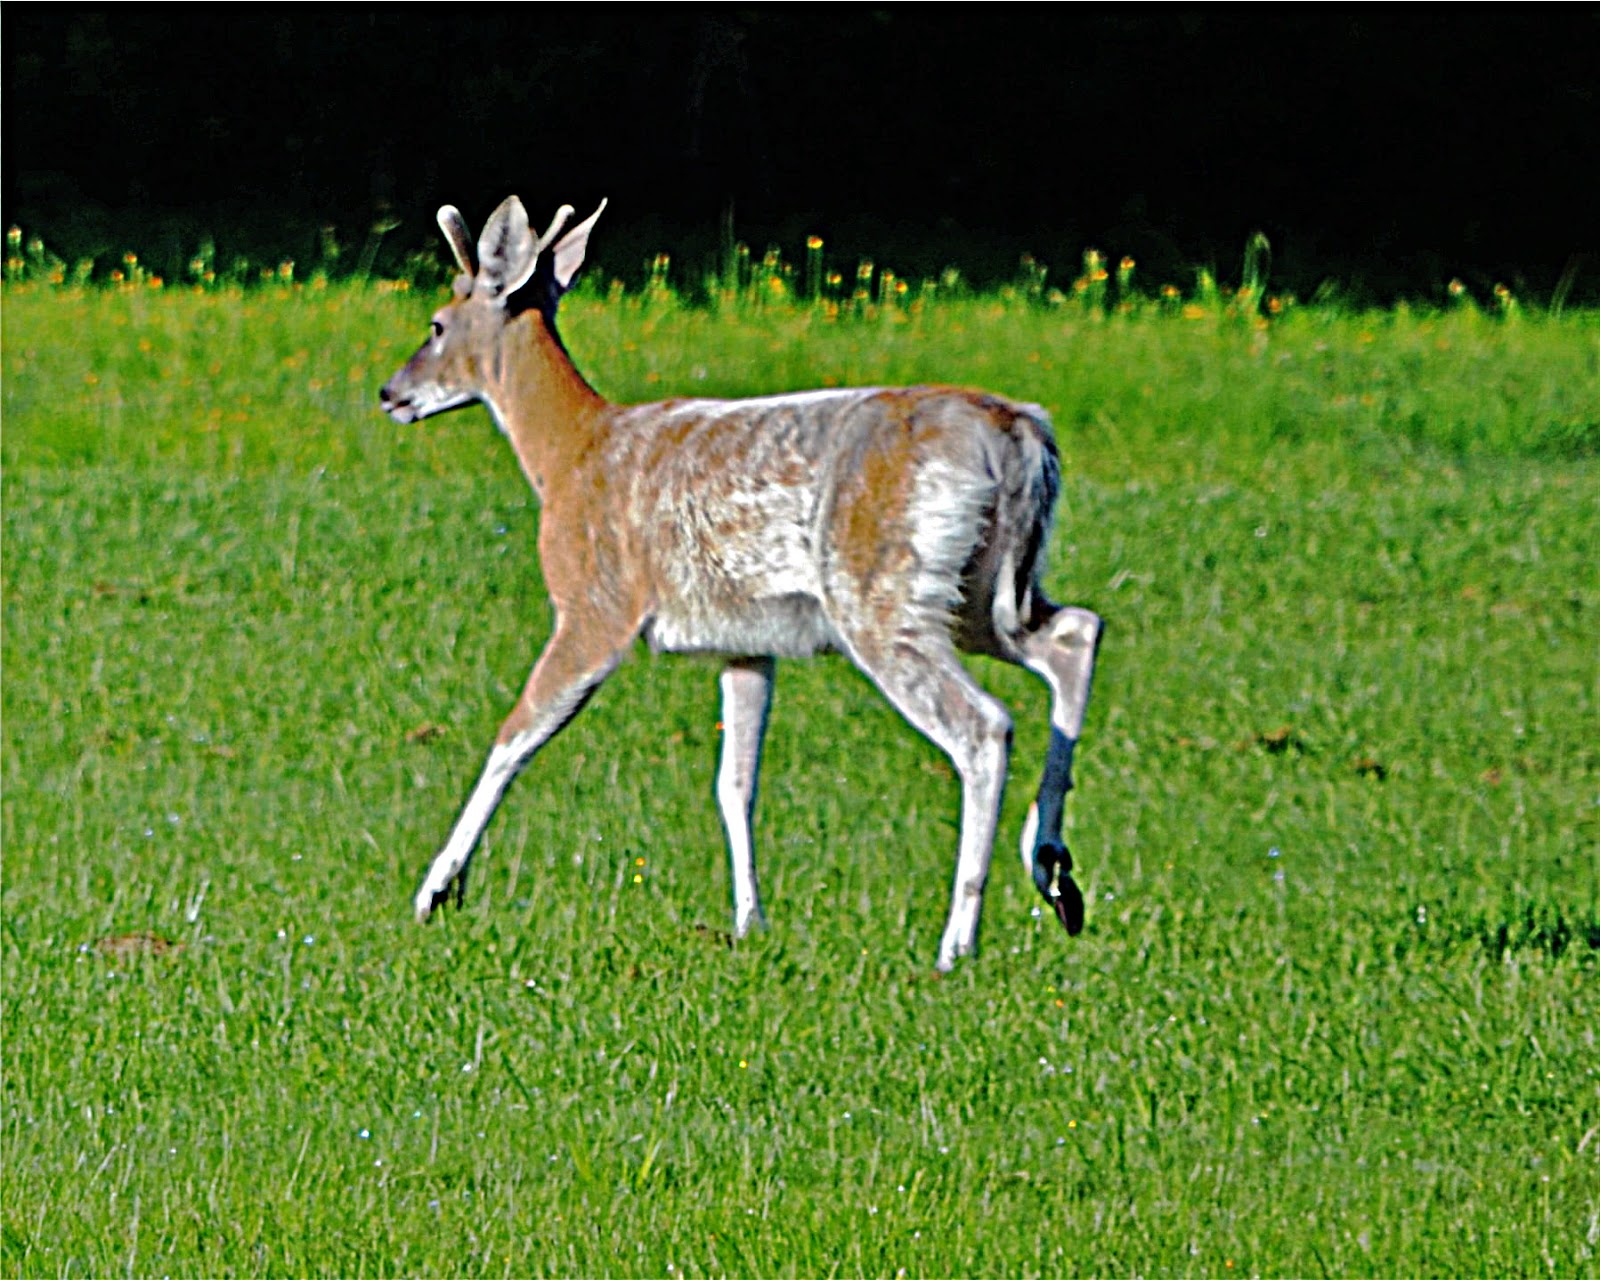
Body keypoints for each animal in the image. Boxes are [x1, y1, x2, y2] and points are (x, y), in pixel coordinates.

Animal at [379, 195, 1104, 971]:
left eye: (437, 323)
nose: (391, 393)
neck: (569, 454)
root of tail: (1019, 433)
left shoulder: (594, 606)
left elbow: (515, 733)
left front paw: (435, 891)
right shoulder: (745, 640)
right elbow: (736, 783)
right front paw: (749, 918)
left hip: (882, 593)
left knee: (984, 724)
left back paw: (957, 941)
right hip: (984, 591)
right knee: (1073, 632)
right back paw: (1054, 874)